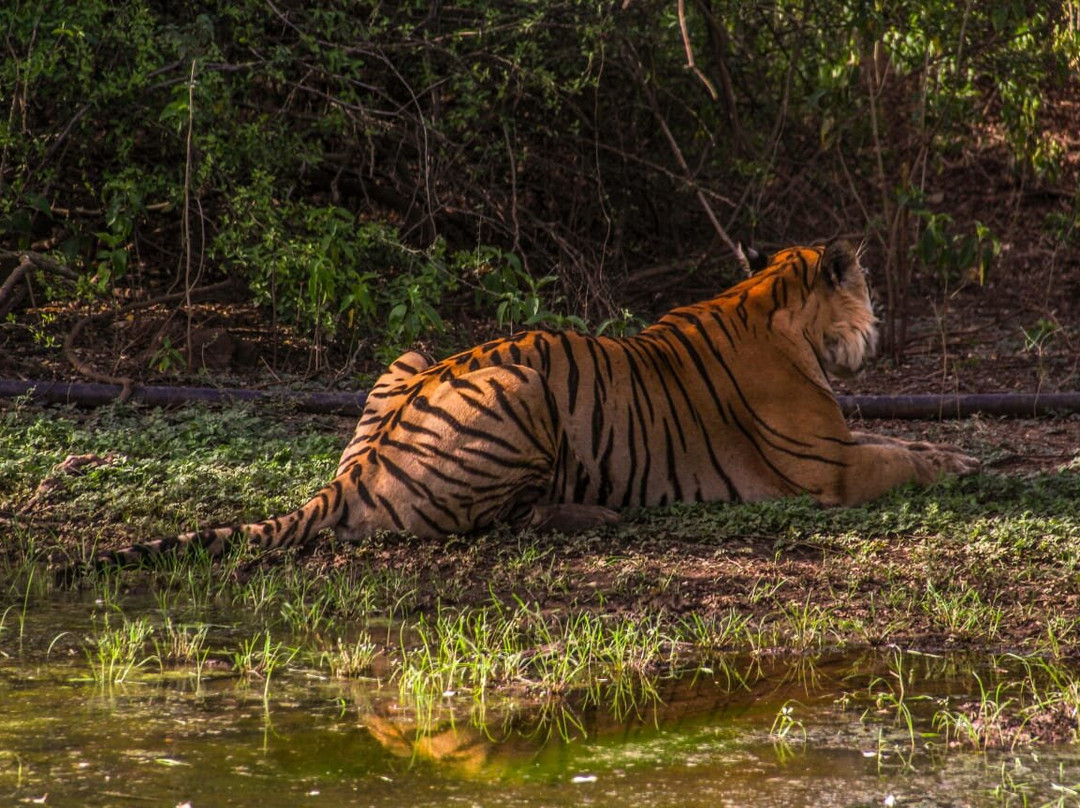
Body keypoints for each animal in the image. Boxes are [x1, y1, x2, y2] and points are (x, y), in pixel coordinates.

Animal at [87, 239, 978, 570]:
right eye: (868, 291)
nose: (879, 328)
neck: (776, 304)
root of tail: (353, 475)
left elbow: (902, 445)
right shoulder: (831, 469)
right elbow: (900, 457)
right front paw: (965, 462)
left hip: (412, 352)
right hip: (524, 389)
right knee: (494, 522)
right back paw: (596, 515)